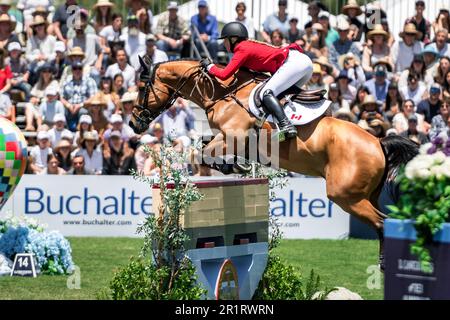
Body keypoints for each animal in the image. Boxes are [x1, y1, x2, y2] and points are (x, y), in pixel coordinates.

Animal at [130, 58, 418, 268]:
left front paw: (234, 166)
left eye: (143, 88)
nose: (133, 123)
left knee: (382, 222)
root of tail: (378, 142)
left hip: (346, 195)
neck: (223, 93)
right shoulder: (230, 139)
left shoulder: (234, 136)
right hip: (366, 194)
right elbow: (203, 146)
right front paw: (237, 165)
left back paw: (386, 264)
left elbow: (199, 153)